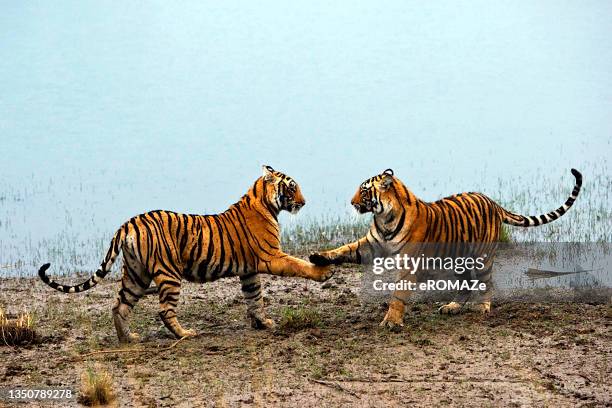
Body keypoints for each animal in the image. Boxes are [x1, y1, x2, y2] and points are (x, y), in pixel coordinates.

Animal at [38, 165, 332, 342]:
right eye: (292, 187)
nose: (304, 202)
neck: (264, 202)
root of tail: (129, 223)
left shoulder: (249, 271)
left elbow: (254, 297)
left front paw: (263, 322)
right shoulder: (271, 256)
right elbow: (298, 265)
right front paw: (323, 271)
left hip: (136, 274)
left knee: (119, 306)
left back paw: (127, 339)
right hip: (168, 273)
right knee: (164, 310)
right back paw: (185, 334)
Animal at [310, 167, 584, 326]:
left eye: (364, 191)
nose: (351, 202)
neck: (384, 217)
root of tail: (494, 203)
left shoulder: (409, 263)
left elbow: (398, 294)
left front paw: (391, 321)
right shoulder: (370, 245)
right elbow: (343, 250)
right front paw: (318, 257)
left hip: (482, 257)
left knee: (485, 283)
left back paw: (482, 308)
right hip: (457, 258)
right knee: (466, 284)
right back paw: (452, 307)